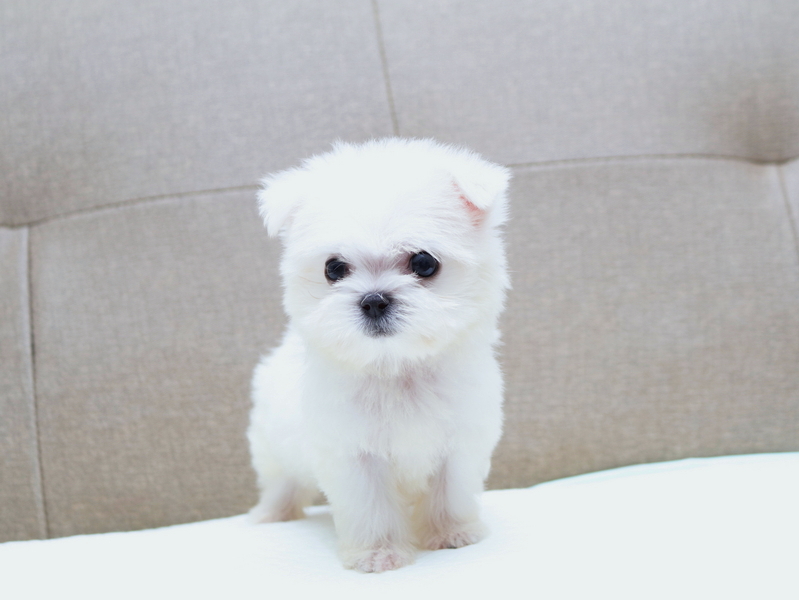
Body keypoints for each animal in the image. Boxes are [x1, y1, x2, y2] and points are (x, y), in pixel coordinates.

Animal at [248, 138, 510, 572]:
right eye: (334, 268)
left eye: (423, 262)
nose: (373, 300)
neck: (396, 366)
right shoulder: (353, 452)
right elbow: (370, 506)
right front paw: (378, 553)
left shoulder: (459, 439)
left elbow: (450, 489)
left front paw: (451, 533)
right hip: (273, 447)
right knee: (281, 483)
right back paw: (271, 515)